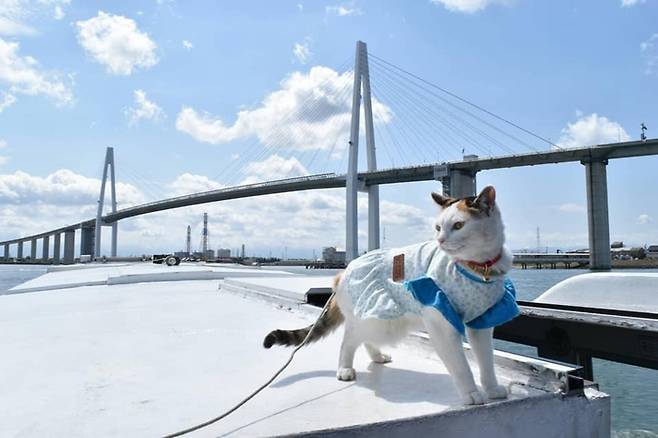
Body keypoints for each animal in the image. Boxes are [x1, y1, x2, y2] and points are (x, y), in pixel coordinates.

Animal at [262, 185, 516, 404]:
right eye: (438, 227)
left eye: (459, 225)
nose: (440, 240)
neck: (479, 267)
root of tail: (344, 271)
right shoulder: (441, 321)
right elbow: (461, 366)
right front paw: (471, 394)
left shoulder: (482, 322)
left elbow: (486, 361)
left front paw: (491, 389)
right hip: (378, 321)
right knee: (349, 339)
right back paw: (344, 369)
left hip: (381, 319)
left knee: (363, 339)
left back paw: (377, 356)